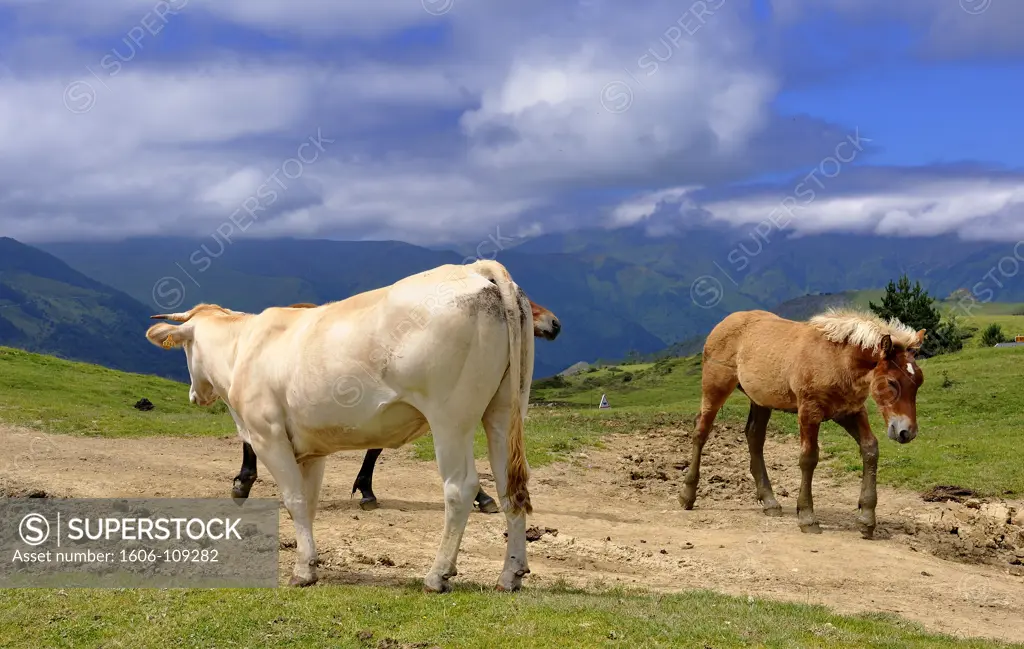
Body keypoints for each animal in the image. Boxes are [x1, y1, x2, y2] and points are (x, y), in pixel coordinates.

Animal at [148, 258, 544, 589]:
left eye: (186, 349)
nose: (195, 395)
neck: (242, 349)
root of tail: (475, 269)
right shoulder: (312, 449)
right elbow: (308, 502)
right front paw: (310, 563)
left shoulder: (267, 435)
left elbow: (293, 499)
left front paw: (301, 570)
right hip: (504, 409)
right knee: (511, 486)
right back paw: (510, 574)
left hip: (451, 417)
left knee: (459, 488)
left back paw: (437, 574)